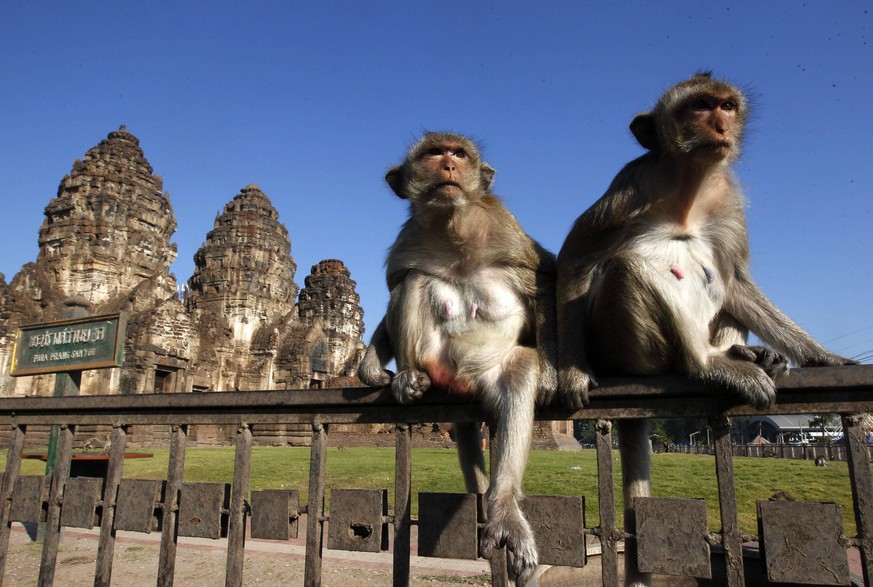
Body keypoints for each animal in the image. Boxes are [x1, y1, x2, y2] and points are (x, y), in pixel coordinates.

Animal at [360, 131, 560, 584]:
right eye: (434, 153)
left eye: (459, 153)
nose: (449, 165)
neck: (452, 229)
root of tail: (459, 382)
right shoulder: (408, 241)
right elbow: (400, 281)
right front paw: (370, 367)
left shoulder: (507, 228)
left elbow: (544, 279)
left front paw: (554, 374)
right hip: (436, 360)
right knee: (416, 282)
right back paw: (409, 378)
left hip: (489, 373)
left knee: (519, 371)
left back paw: (504, 508)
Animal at [556, 73, 856, 587]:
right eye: (699, 107)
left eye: (726, 106)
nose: (720, 125)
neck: (689, 186)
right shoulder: (632, 183)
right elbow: (577, 257)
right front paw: (573, 372)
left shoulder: (727, 198)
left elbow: (735, 282)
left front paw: (823, 355)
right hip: (627, 347)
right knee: (628, 267)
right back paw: (706, 365)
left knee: (722, 284)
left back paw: (751, 356)